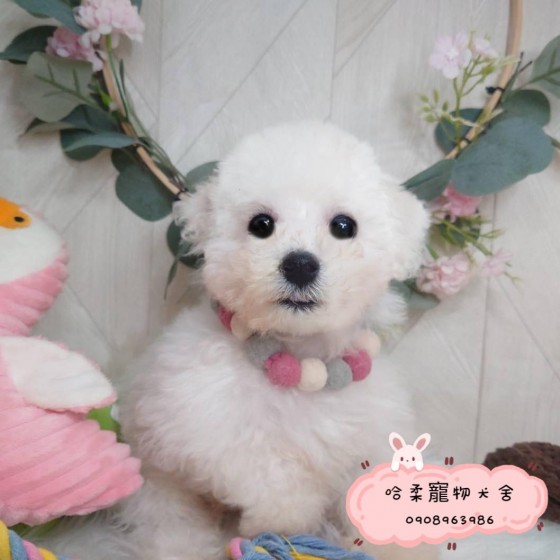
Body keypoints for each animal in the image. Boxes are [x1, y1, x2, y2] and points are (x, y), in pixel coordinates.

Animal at [112, 121, 430, 560]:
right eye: (260, 225)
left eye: (343, 226)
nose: (299, 264)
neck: (298, 357)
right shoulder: (204, 426)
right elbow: (270, 477)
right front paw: (287, 521)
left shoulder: (365, 433)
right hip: (157, 483)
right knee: (170, 524)